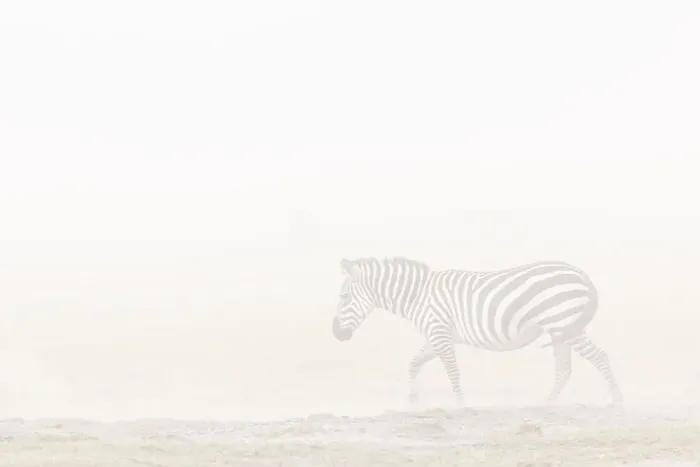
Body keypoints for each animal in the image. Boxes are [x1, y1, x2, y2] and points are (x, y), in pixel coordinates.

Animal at [332, 256, 623, 406]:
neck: (418, 296)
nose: (336, 335)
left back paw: (617, 401)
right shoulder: (436, 335)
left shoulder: (440, 333)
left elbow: (452, 370)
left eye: (344, 297)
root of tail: (579, 273)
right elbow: (414, 363)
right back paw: (546, 403)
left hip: (564, 323)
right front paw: (413, 399)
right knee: (564, 368)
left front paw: (461, 405)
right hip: (560, 330)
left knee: (600, 357)